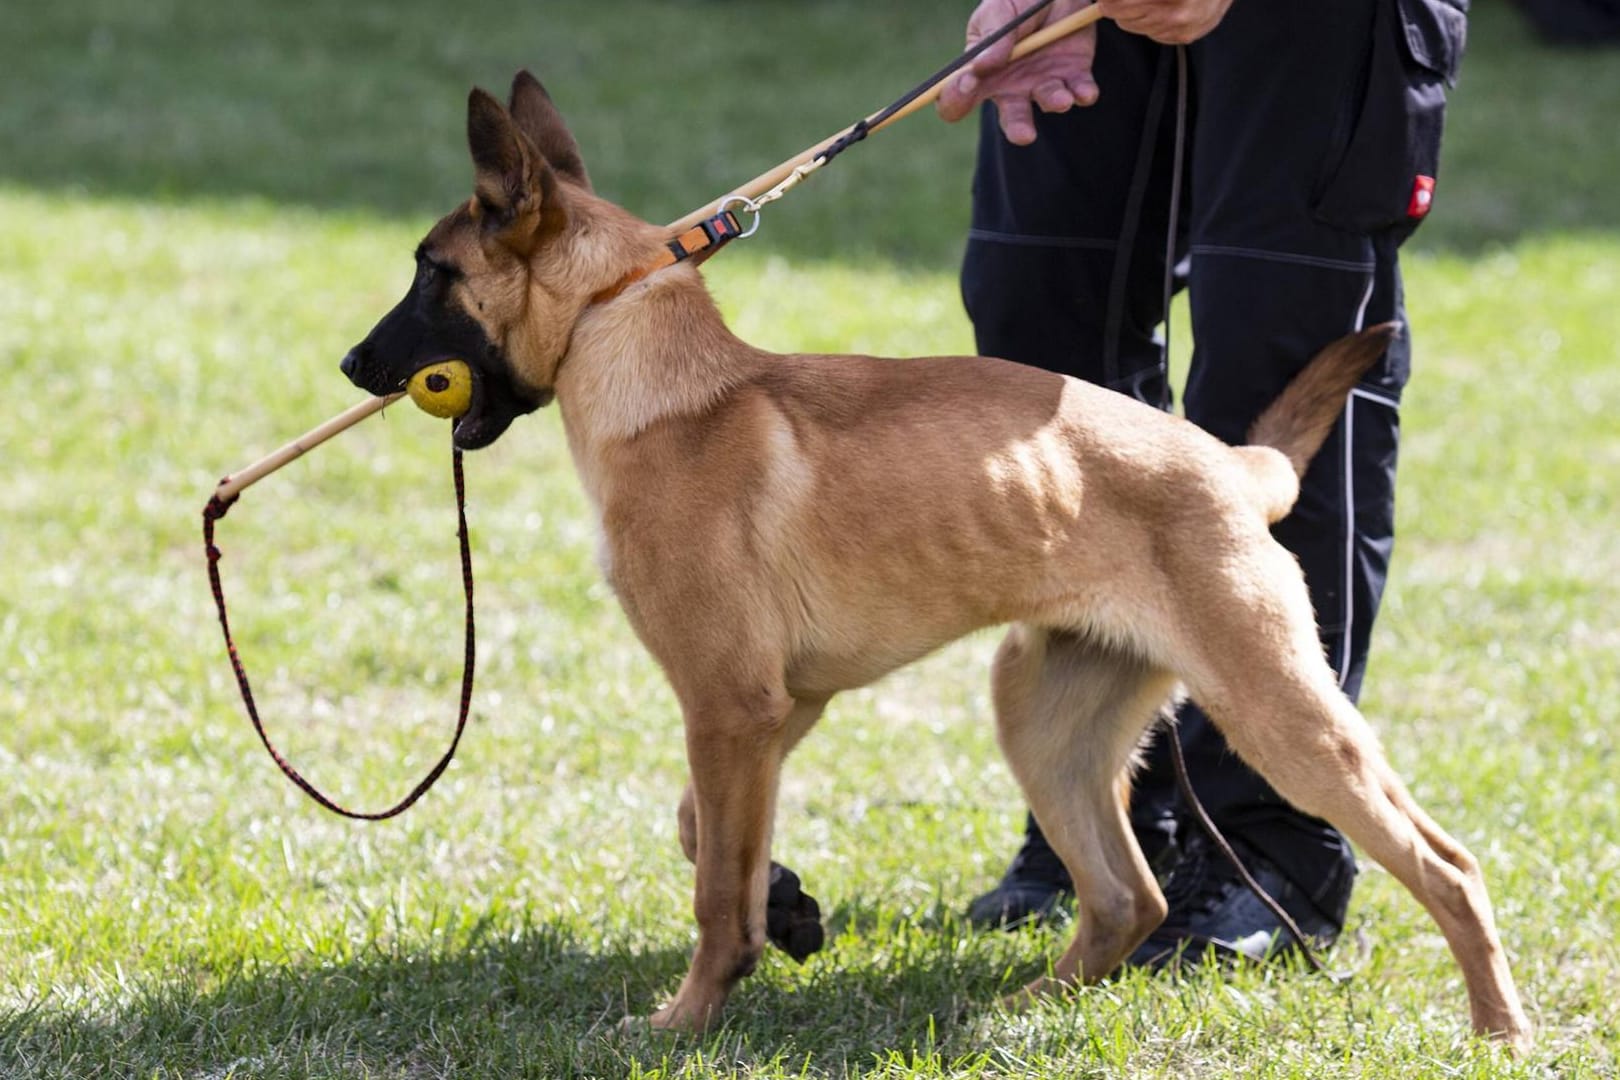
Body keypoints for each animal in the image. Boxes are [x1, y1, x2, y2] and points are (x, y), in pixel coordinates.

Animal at [341, 69, 1529, 1049]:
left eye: (430, 273)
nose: (353, 364)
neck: (649, 364)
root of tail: (1237, 468)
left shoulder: (731, 705)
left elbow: (711, 891)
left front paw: (689, 1016)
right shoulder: (775, 707)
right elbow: (703, 835)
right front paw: (785, 907)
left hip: (1279, 716)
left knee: (1448, 866)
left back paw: (1500, 1029)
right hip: (1045, 716)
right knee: (1126, 897)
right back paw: (1028, 1010)